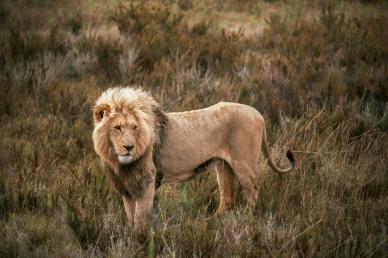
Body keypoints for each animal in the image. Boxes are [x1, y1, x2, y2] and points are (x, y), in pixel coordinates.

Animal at [92, 87, 296, 230]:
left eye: (134, 127)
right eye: (117, 127)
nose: (128, 147)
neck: (121, 163)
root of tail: (258, 114)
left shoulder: (147, 182)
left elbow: (140, 216)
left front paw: (139, 238)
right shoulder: (126, 187)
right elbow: (130, 214)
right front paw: (130, 233)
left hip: (244, 165)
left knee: (253, 192)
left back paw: (246, 219)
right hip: (224, 166)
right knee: (227, 197)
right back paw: (209, 222)